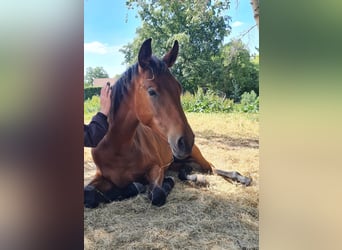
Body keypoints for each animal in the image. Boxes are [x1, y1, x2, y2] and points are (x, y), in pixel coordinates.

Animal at [85, 38, 251, 208]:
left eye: (178, 88)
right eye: (151, 91)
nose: (186, 141)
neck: (117, 148)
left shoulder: (157, 168)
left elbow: (157, 194)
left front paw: (160, 183)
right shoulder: (101, 177)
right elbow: (89, 194)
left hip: (195, 154)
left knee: (211, 168)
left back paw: (240, 178)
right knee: (187, 169)